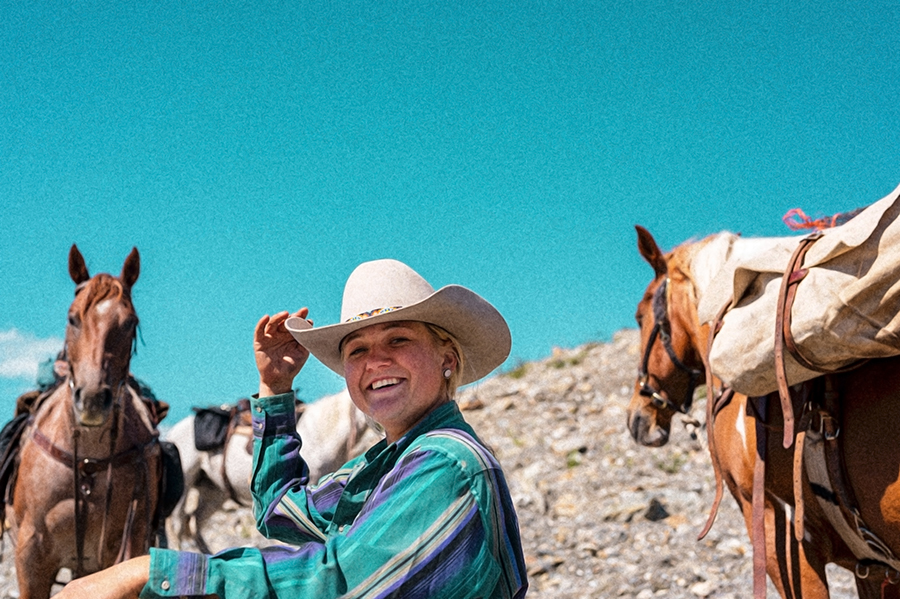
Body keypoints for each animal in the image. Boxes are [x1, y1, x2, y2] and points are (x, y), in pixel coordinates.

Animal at [7, 245, 164, 599]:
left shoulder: (128, 545)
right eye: (72, 318)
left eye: (130, 322)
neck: (90, 462)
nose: (92, 400)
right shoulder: (30, 556)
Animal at [162, 390, 380, 552]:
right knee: (177, 525)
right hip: (185, 485)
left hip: (214, 492)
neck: (320, 432)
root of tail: (174, 432)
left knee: (195, 521)